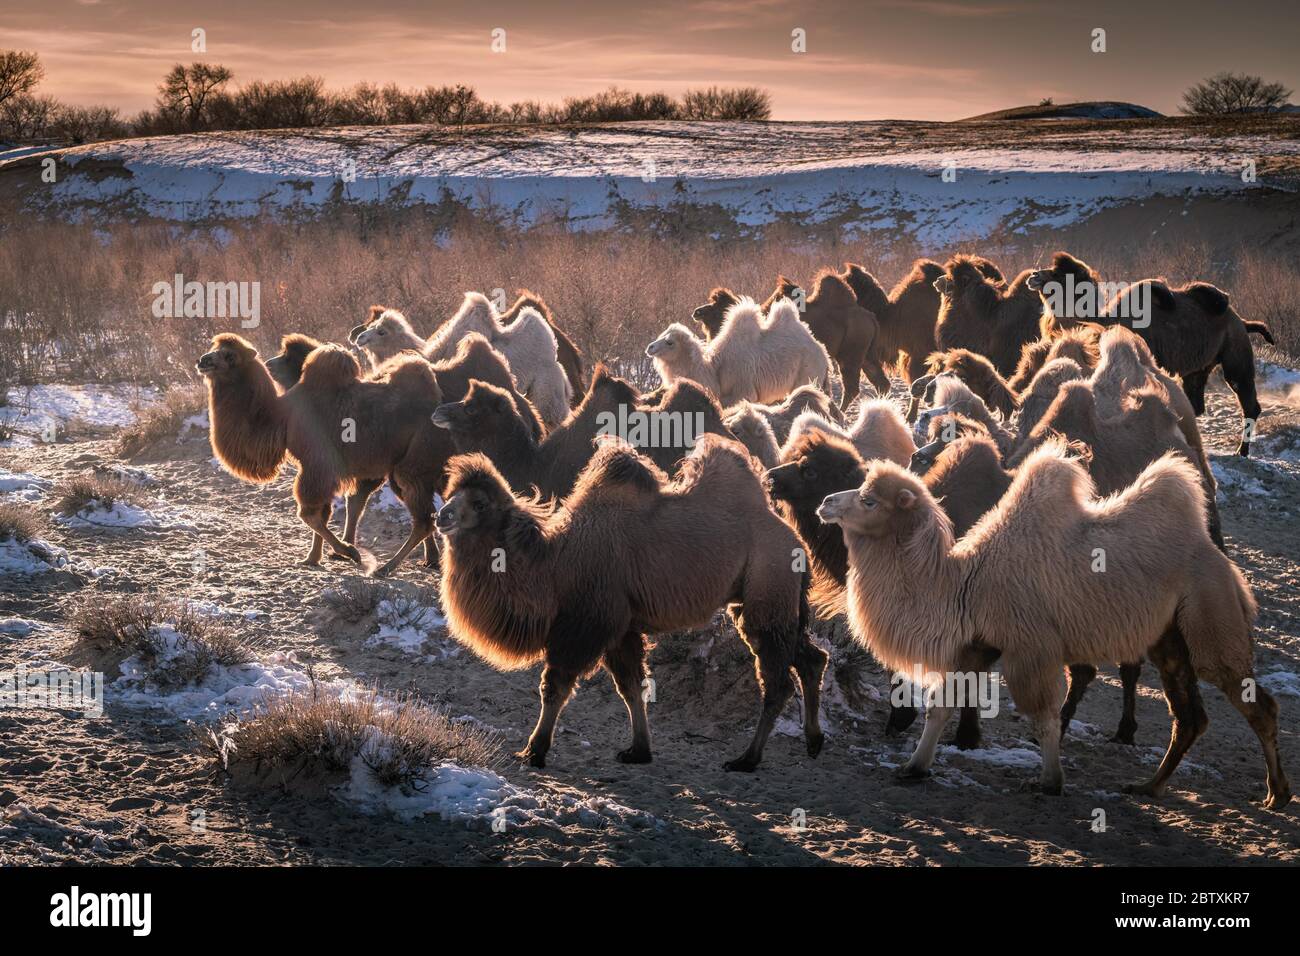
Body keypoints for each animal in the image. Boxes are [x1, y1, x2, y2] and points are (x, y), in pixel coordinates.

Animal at [197, 335, 445, 577]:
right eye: (214, 348)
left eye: (230, 355)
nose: (203, 361)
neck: (280, 418)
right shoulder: (315, 468)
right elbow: (322, 513)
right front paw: (313, 558)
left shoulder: (317, 466)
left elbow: (309, 514)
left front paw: (348, 552)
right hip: (401, 469)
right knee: (423, 513)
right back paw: (422, 560)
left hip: (412, 464)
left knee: (423, 520)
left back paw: (387, 567)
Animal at [436, 437, 828, 771]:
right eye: (451, 494)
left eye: (479, 503)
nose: (442, 516)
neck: (555, 565)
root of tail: (796, 541)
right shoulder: (620, 627)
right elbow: (631, 686)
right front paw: (639, 750)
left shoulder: (587, 624)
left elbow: (556, 686)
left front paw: (534, 751)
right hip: (764, 602)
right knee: (811, 658)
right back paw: (813, 742)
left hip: (768, 590)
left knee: (778, 682)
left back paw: (746, 759)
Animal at [647, 297, 832, 407]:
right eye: (662, 334)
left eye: (670, 342)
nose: (650, 347)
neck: (715, 370)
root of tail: (823, 354)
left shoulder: (743, 391)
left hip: (807, 373)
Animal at [819, 441, 1289, 808]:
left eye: (869, 500)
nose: (826, 502)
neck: (964, 583)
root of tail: (1220, 560)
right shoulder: (977, 644)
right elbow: (942, 705)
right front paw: (914, 767)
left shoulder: (1030, 647)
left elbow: (1045, 716)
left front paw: (1050, 781)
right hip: (1169, 640)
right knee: (1189, 717)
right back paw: (1148, 786)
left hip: (1209, 615)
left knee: (1254, 701)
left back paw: (1277, 794)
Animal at [1027, 251, 1274, 455]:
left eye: (1059, 274)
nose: (1034, 275)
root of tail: (1241, 321)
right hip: (1199, 368)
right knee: (1195, 400)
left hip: (1235, 353)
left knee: (1246, 398)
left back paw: (1241, 451)